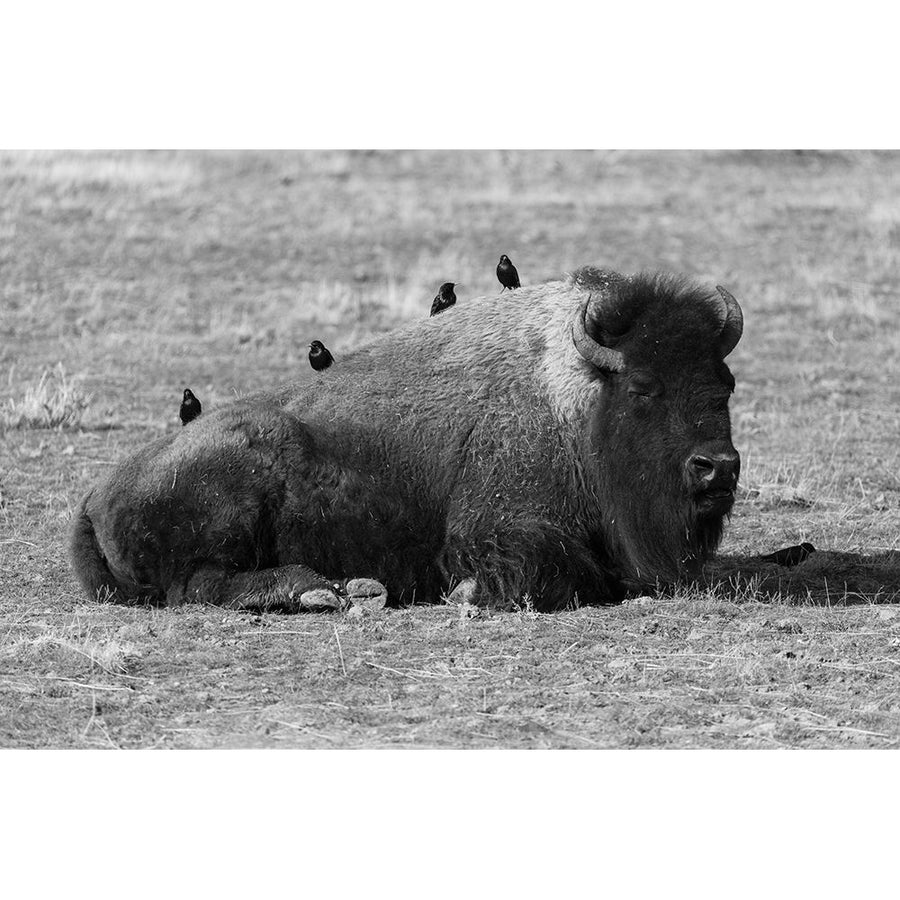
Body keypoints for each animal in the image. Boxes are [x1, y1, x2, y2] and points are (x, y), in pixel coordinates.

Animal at [70, 266, 744, 612]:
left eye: (725, 383)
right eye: (642, 388)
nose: (717, 466)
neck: (576, 396)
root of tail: (94, 500)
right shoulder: (499, 528)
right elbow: (562, 574)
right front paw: (467, 593)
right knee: (202, 587)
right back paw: (320, 591)